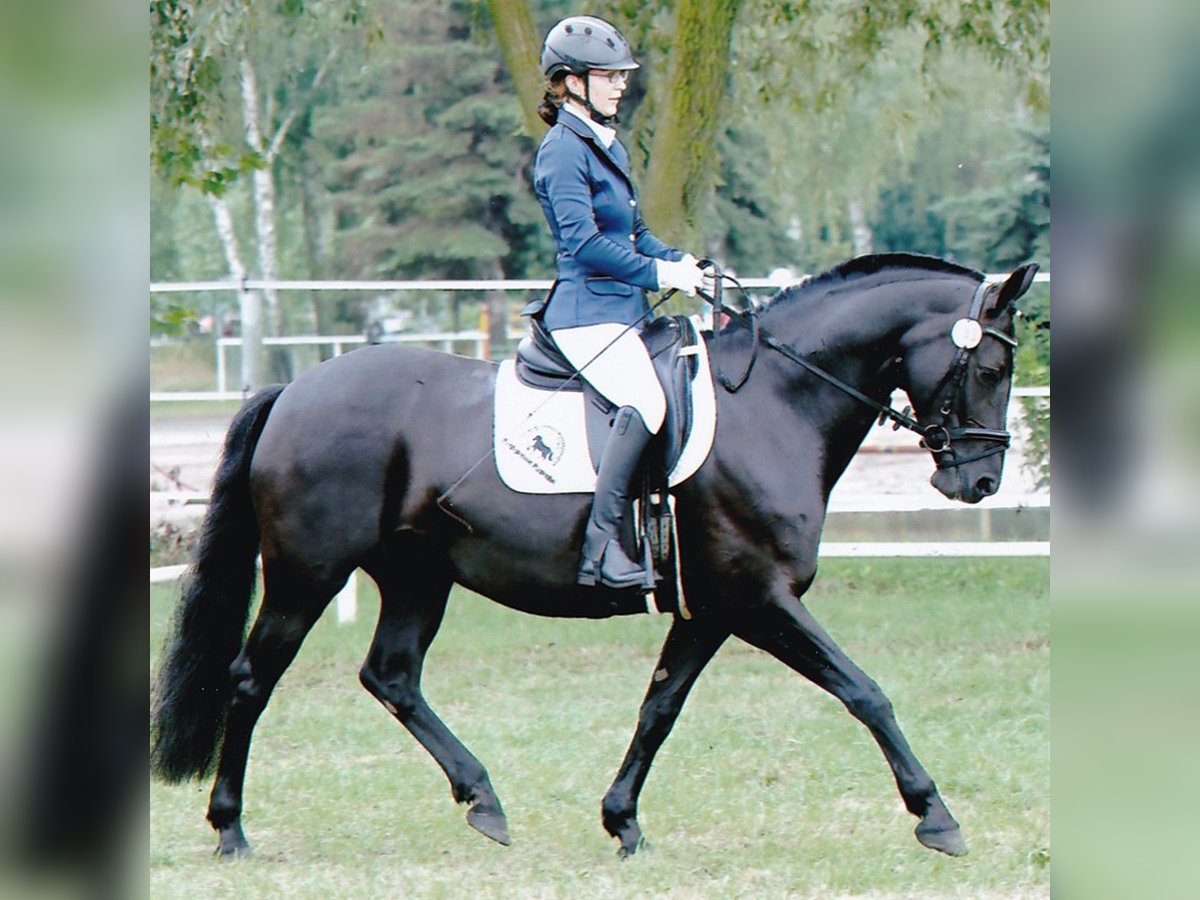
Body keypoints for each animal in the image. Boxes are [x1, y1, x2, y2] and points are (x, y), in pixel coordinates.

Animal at [150, 252, 1036, 859]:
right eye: (993, 364)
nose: (982, 480)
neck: (775, 405)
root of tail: (293, 391)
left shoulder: (711, 608)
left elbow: (659, 708)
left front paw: (622, 820)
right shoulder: (760, 597)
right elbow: (865, 692)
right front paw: (936, 816)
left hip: (415, 577)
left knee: (391, 676)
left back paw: (484, 801)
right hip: (307, 575)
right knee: (251, 680)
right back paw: (230, 830)